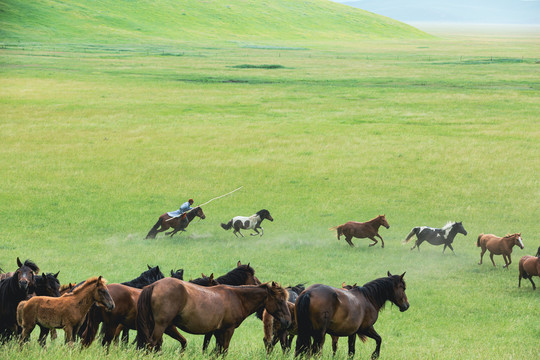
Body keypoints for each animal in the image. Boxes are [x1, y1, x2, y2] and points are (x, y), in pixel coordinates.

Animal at [137, 278, 294, 354]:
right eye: (280, 300)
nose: (288, 321)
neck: (237, 298)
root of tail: (154, 285)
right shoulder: (228, 330)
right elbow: (224, 350)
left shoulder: (218, 332)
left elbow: (217, 351)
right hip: (161, 325)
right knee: (152, 344)